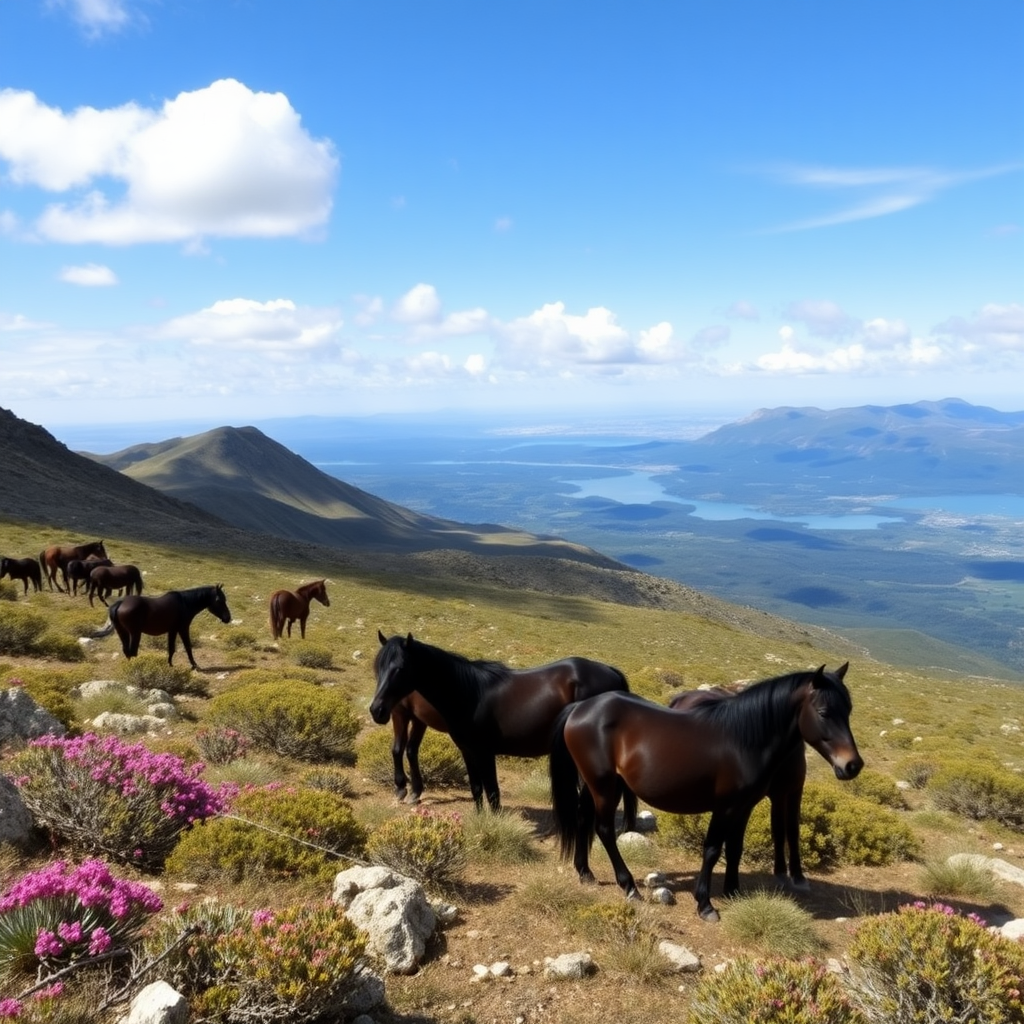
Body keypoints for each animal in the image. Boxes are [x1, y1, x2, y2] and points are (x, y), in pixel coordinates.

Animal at [106, 585, 234, 671]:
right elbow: (188, 647)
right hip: (135, 633)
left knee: (126, 650)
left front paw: (170, 665)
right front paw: (194, 665)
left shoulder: (172, 630)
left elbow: (171, 649)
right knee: (132, 651)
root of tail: (120, 604)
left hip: (123, 632)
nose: (228, 618)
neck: (184, 603)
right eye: (219, 600)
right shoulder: (183, 629)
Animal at [372, 626, 634, 811]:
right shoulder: (468, 751)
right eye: (378, 668)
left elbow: (493, 793)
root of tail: (612, 672)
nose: (377, 710)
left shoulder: (485, 752)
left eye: (400, 668)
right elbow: (476, 789)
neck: (468, 694)